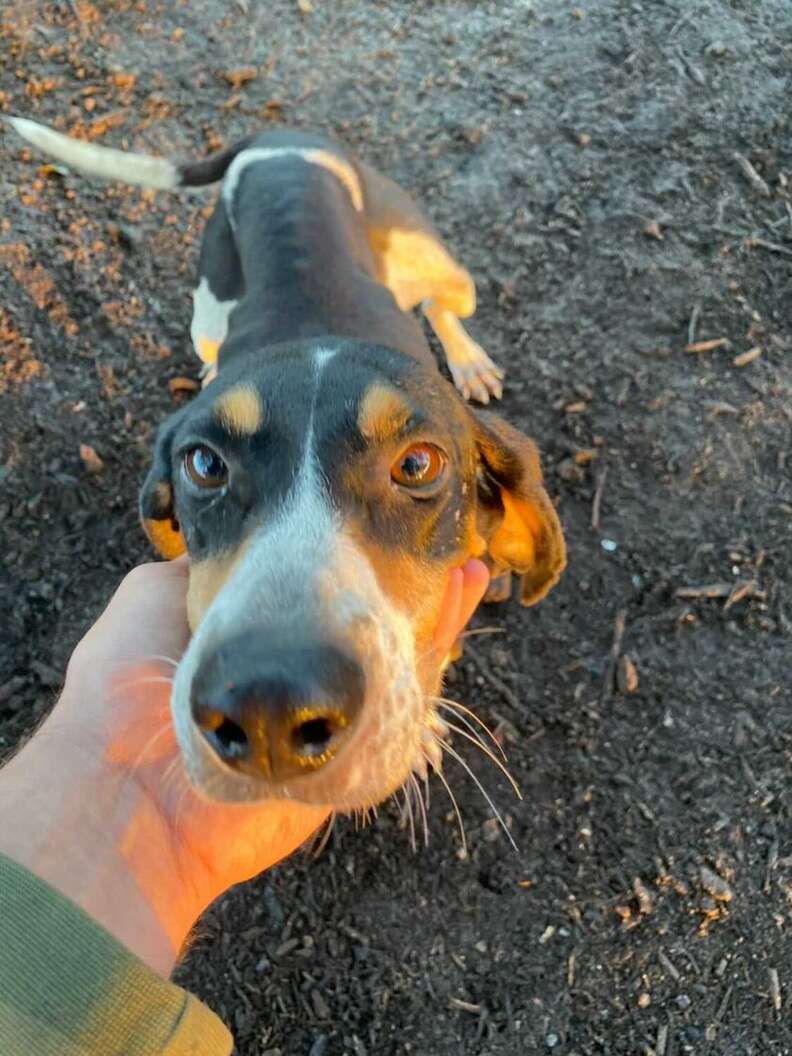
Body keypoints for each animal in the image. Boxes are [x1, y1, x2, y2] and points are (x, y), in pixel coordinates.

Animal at [6, 117, 566, 806]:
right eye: (204, 465)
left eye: (418, 465)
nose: (266, 705)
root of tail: (275, 136)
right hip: (207, 310)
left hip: (439, 265)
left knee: (443, 305)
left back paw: (469, 362)